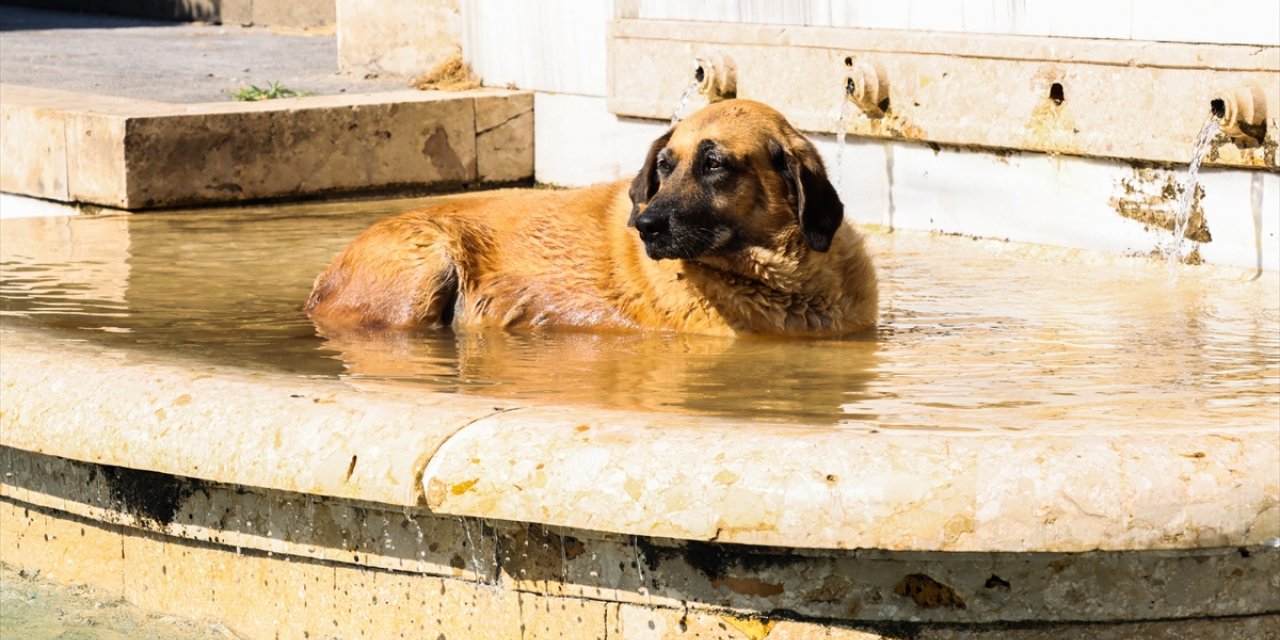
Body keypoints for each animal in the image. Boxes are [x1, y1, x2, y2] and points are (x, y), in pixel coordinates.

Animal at [304, 97, 875, 337]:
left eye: (714, 164)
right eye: (663, 167)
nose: (645, 227)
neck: (793, 279)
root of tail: (322, 280)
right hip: (426, 264)